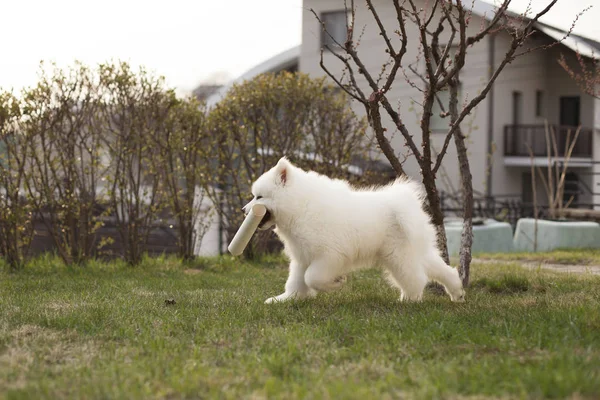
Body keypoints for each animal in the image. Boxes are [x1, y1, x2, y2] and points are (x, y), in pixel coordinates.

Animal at [244, 156, 464, 304]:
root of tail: (403, 204)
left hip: (398, 256)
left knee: (416, 278)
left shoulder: (329, 255)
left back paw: (409, 300)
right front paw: (287, 299)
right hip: (415, 250)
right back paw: (457, 293)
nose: (243, 210)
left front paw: (336, 283)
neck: (300, 206)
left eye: (259, 197)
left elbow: (312, 277)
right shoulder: (303, 256)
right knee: (442, 269)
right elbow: (297, 281)